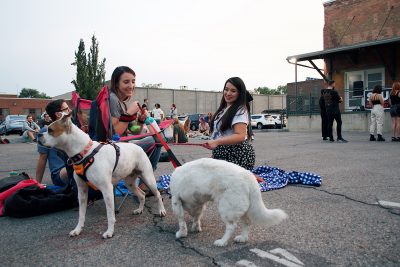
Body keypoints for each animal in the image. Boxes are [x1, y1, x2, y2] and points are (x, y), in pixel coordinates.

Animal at [38, 114, 166, 240]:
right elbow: (81, 214)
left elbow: (110, 215)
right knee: (142, 194)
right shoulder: (82, 192)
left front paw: (110, 232)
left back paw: (161, 211)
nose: (39, 134)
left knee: (157, 195)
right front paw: (77, 230)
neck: (85, 152)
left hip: (148, 178)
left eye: (50, 130)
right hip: (129, 183)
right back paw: (139, 209)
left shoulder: (107, 189)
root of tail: (138, 147)